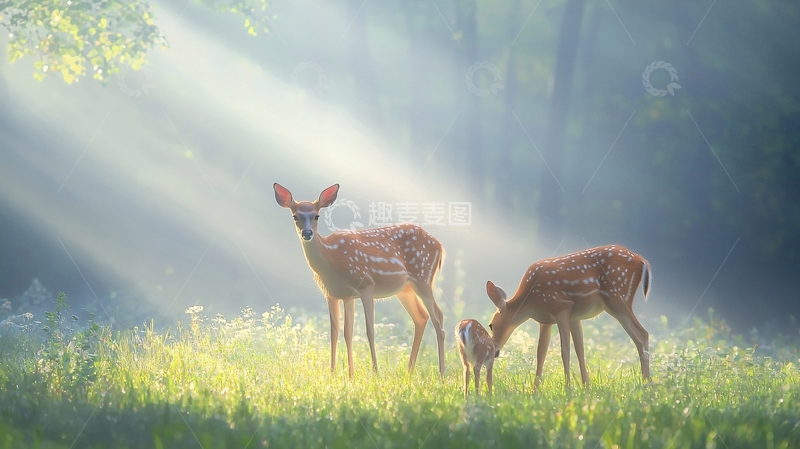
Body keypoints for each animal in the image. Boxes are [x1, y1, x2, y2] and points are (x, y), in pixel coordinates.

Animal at [273, 183, 446, 378]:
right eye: (295, 216)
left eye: (316, 215)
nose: (307, 233)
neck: (332, 260)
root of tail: (440, 245)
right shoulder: (336, 295)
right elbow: (340, 332)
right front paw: (341, 374)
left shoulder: (366, 284)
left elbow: (369, 331)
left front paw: (375, 373)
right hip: (405, 289)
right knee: (421, 317)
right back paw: (409, 372)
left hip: (422, 277)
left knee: (438, 318)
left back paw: (441, 374)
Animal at [486, 245, 651, 390]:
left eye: (491, 325)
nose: (495, 352)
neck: (530, 302)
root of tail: (642, 260)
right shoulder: (553, 320)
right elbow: (551, 353)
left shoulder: (562, 307)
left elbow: (565, 351)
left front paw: (568, 389)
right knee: (641, 336)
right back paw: (646, 383)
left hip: (617, 297)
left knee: (642, 334)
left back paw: (646, 384)